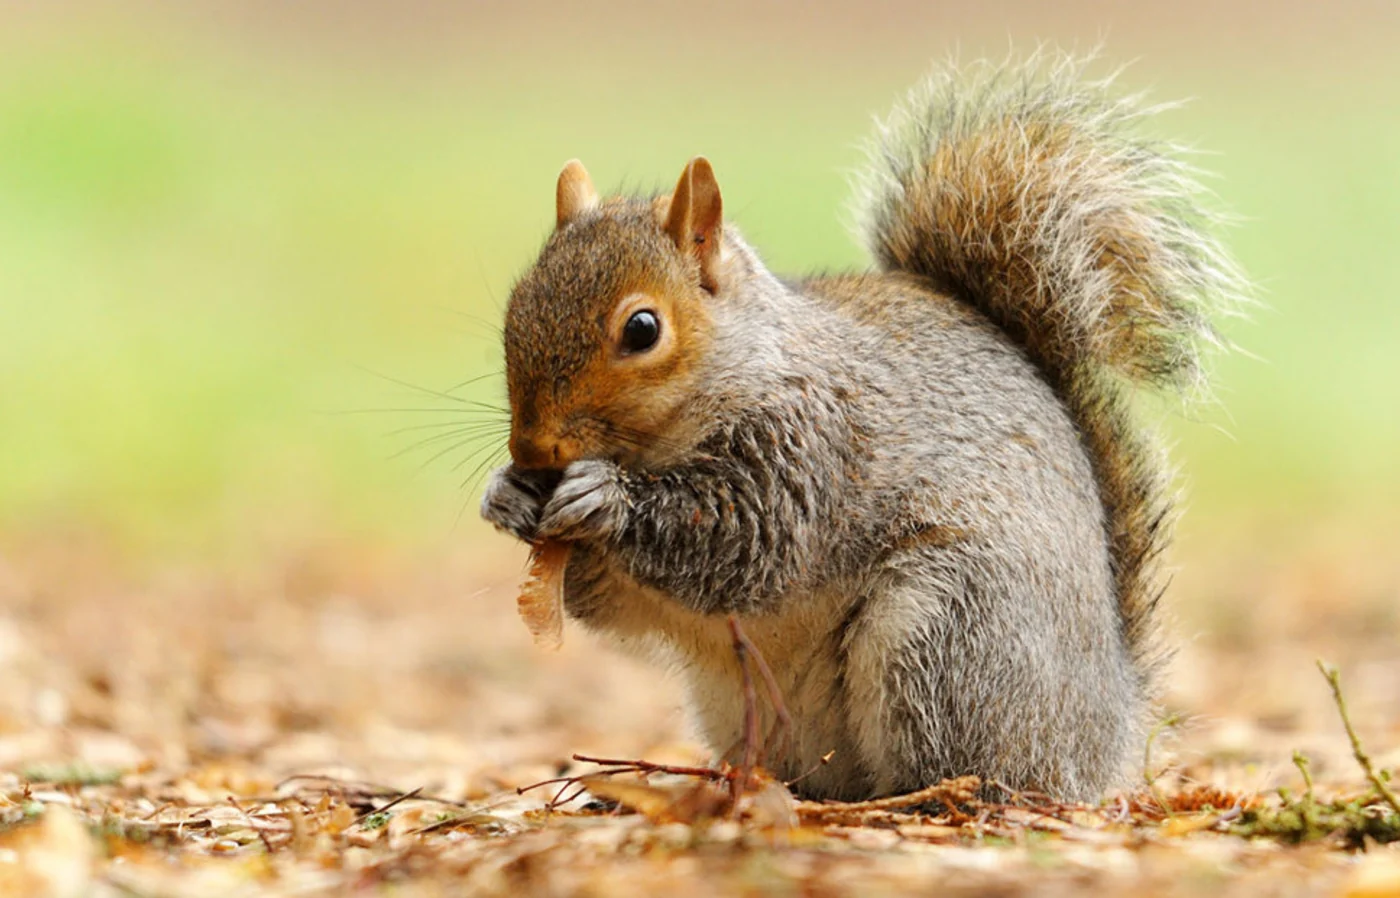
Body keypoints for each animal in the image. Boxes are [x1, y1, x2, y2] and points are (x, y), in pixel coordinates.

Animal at [479, 53, 1244, 802]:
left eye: (642, 329)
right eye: (514, 309)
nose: (533, 449)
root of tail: (1107, 732)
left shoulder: (814, 447)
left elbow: (745, 542)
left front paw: (605, 499)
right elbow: (604, 601)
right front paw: (507, 495)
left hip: (951, 629)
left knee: (976, 767)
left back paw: (922, 796)